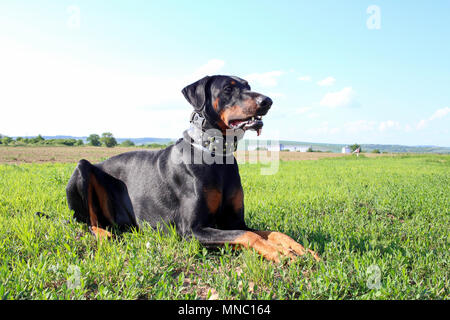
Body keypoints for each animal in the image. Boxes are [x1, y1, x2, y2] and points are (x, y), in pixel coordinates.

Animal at [66, 75, 320, 262]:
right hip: (82, 168)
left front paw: (299, 248)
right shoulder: (192, 230)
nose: (267, 100)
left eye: (248, 86)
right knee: (89, 222)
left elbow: (271, 232)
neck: (217, 156)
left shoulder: (234, 222)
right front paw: (278, 252)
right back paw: (104, 234)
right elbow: (248, 236)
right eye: (228, 89)